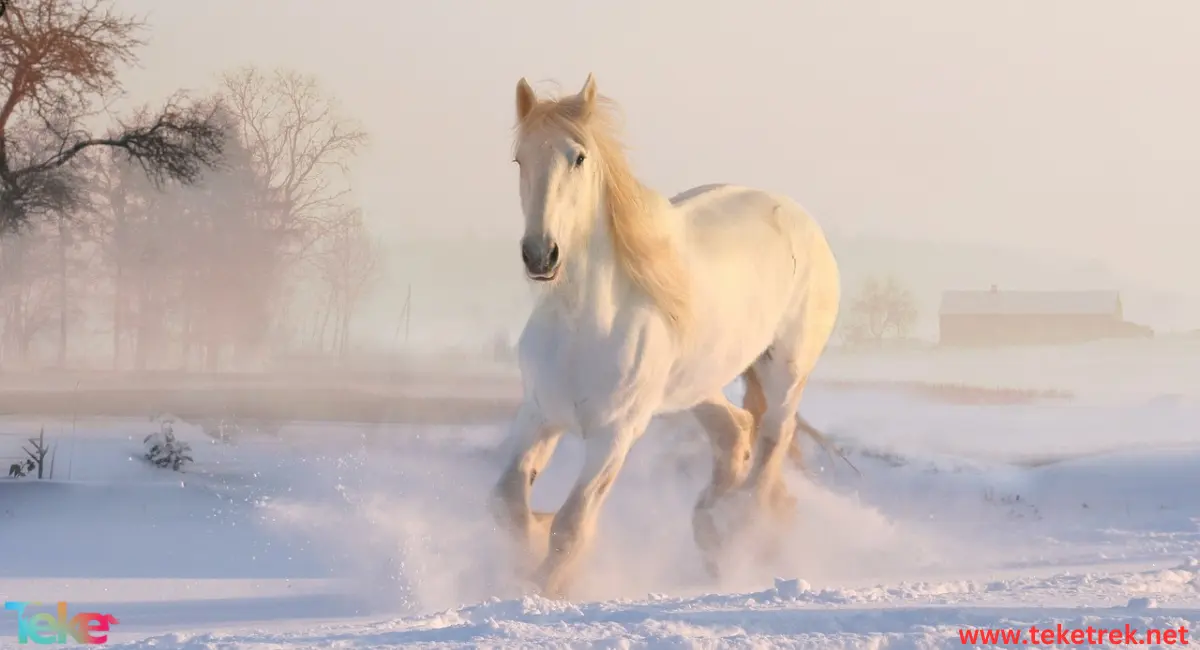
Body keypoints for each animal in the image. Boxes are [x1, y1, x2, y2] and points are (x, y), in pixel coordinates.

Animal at [492, 75, 840, 602]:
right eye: (519, 159)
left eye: (579, 157)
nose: (540, 254)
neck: (582, 325)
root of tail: (801, 220)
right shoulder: (538, 414)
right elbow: (509, 502)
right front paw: (530, 545)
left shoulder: (615, 434)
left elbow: (571, 526)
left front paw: (545, 587)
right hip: (697, 385)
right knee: (735, 432)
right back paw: (710, 530)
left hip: (785, 373)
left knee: (769, 448)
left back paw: (739, 536)